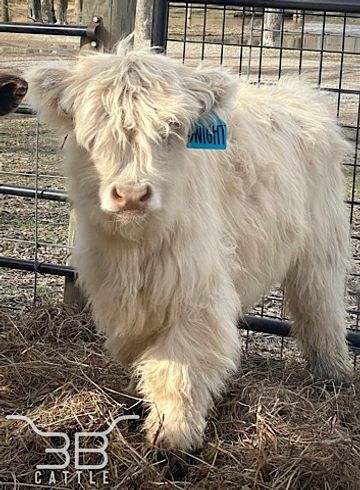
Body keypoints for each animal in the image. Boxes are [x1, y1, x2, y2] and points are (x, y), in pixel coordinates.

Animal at [26, 41, 352, 452]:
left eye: (173, 128)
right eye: (94, 132)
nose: (131, 194)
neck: (135, 249)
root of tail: (299, 93)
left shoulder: (196, 293)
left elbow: (178, 368)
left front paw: (172, 437)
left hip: (322, 246)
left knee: (321, 308)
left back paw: (333, 377)